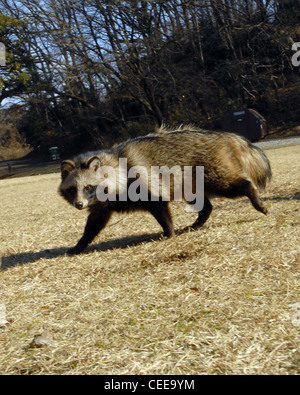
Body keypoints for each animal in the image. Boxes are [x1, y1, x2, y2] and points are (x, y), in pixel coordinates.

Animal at [59, 127, 272, 256]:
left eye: (88, 187)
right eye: (72, 189)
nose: (79, 204)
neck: (115, 164)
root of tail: (224, 135)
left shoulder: (143, 184)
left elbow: (161, 209)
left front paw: (169, 232)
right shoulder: (102, 205)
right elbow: (94, 224)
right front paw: (80, 244)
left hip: (213, 174)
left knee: (236, 185)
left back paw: (254, 197)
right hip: (190, 182)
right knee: (205, 205)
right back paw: (199, 221)